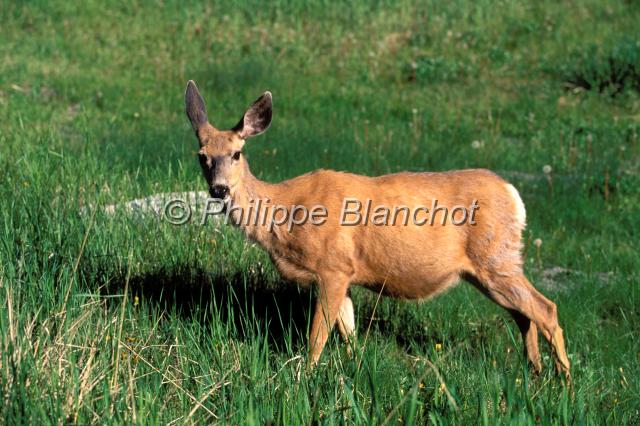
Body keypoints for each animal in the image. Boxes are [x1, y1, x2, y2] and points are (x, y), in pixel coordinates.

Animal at [184, 80, 571, 380]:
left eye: (237, 153)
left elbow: (318, 335)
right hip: (489, 268)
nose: (220, 189)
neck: (285, 214)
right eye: (202, 155)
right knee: (524, 315)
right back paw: (535, 372)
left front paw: (305, 376)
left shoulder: (333, 265)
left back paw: (563, 381)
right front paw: (353, 368)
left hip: (495, 257)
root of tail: (513, 195)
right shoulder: (346, 273)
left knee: (546, 309)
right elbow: (349, 332)